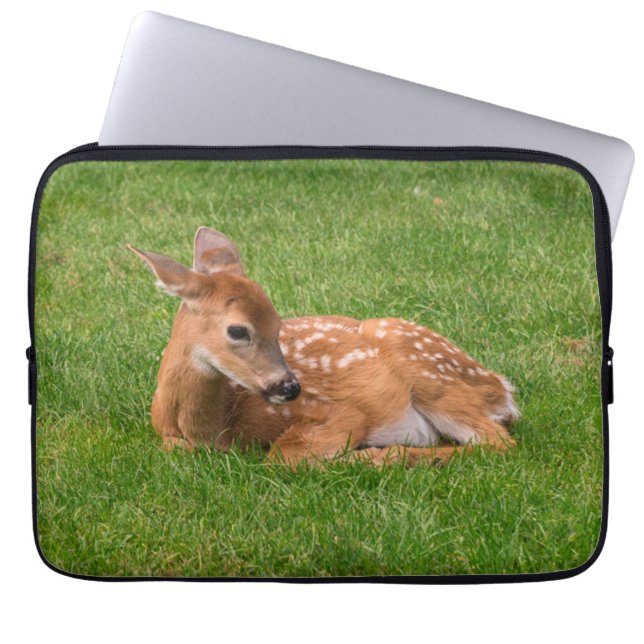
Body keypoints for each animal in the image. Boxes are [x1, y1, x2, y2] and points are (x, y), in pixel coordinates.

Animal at [128, 227, 519, 467]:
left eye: (279, 324)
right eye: (237, 330)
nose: (290, 387)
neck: (216, 424)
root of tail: (501, 388)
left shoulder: (340, 412)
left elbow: (283, 454)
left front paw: (372, 456)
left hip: (430, 375)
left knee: (498, 442)